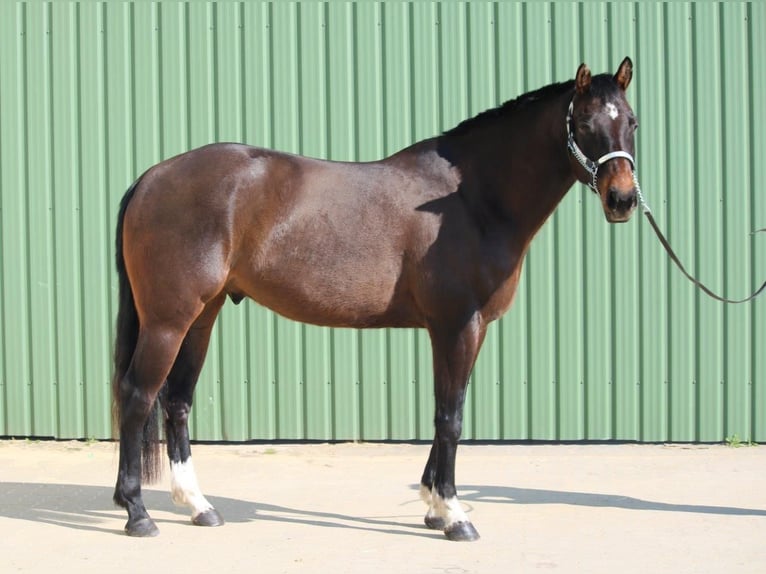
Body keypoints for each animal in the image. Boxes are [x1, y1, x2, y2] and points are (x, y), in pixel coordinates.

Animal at [112, 58, 639, 541]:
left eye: (631, 121)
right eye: (584, 123)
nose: (623, 200)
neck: (470, 200)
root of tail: (151, 177)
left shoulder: (461, 329)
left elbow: (444, 412)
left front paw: (432, 505)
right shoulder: (458, 326)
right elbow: (451, 418)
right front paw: (455, 516)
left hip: (203, 316)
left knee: (177, 401)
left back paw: (199, 506)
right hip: (168, 320)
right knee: (137, 397)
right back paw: (137, 512)